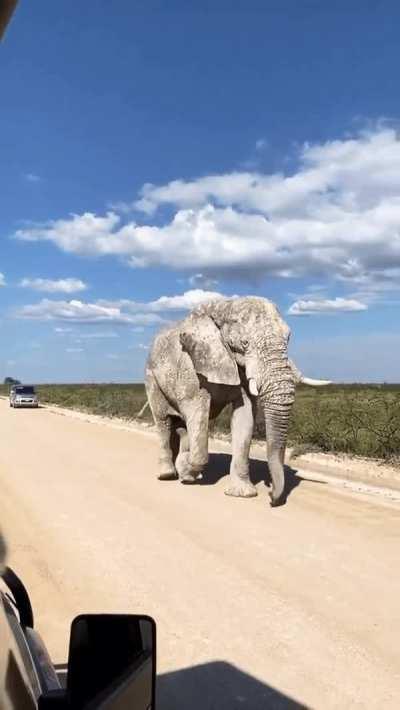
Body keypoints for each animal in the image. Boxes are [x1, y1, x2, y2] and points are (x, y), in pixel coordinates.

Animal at [145, 296, 330, 507]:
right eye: (244, 343)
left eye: (288, 338)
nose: (271, 497)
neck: (225, 305)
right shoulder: (190, 364)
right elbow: (196, 409)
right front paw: (185, 470)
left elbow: (245, 415)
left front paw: (242, 494)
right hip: (152, 378)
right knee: (163, 422)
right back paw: (168, 474)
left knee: (181, 425)